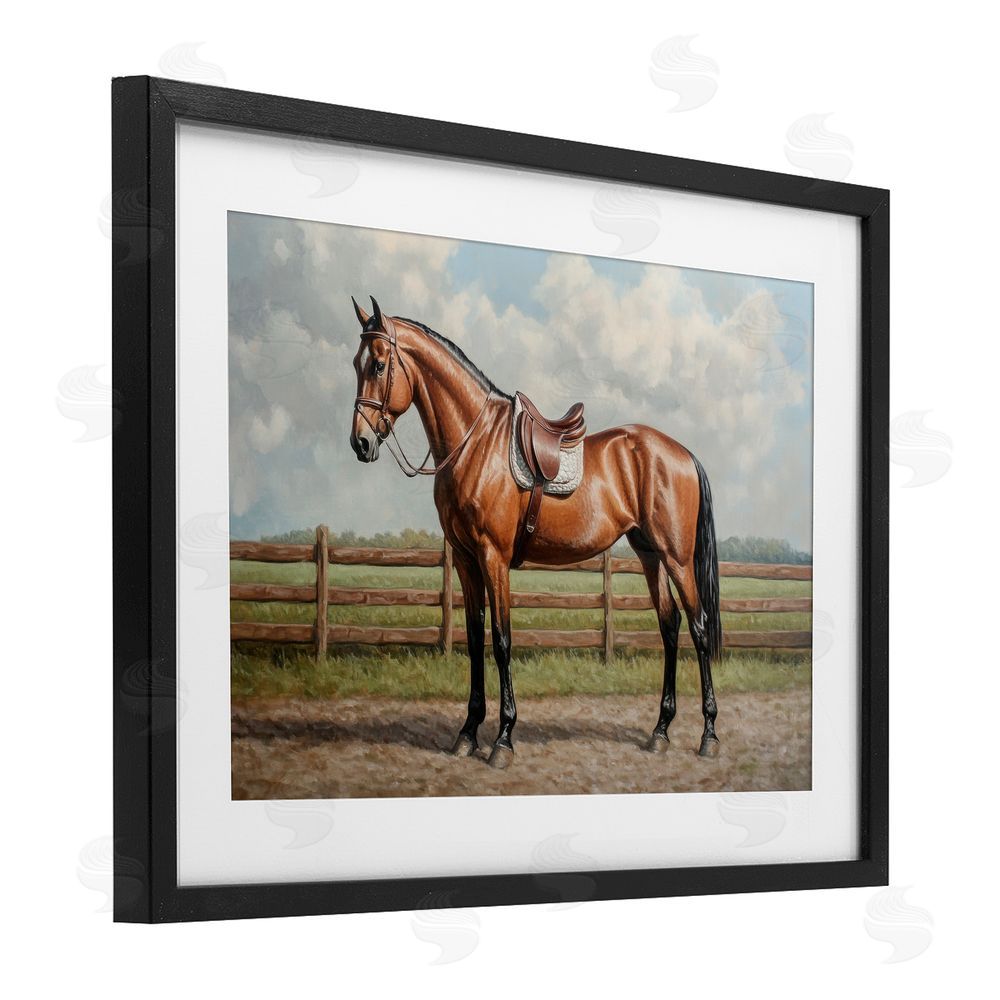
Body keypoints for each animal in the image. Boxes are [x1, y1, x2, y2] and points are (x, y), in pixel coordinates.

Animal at [349, 296, 722, 769]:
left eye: (379, 365)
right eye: (356, 363)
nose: (360, 442)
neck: (474, 443)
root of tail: (682, 453)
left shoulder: (493, 558)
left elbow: (502, 640)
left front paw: (503, 739)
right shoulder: (467, 560)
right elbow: (475, 638)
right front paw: (468, 732)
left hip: (677, 557)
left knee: (698, 627)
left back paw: (709, 734)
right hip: (649, 554)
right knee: (669, 627)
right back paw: (660, 731)